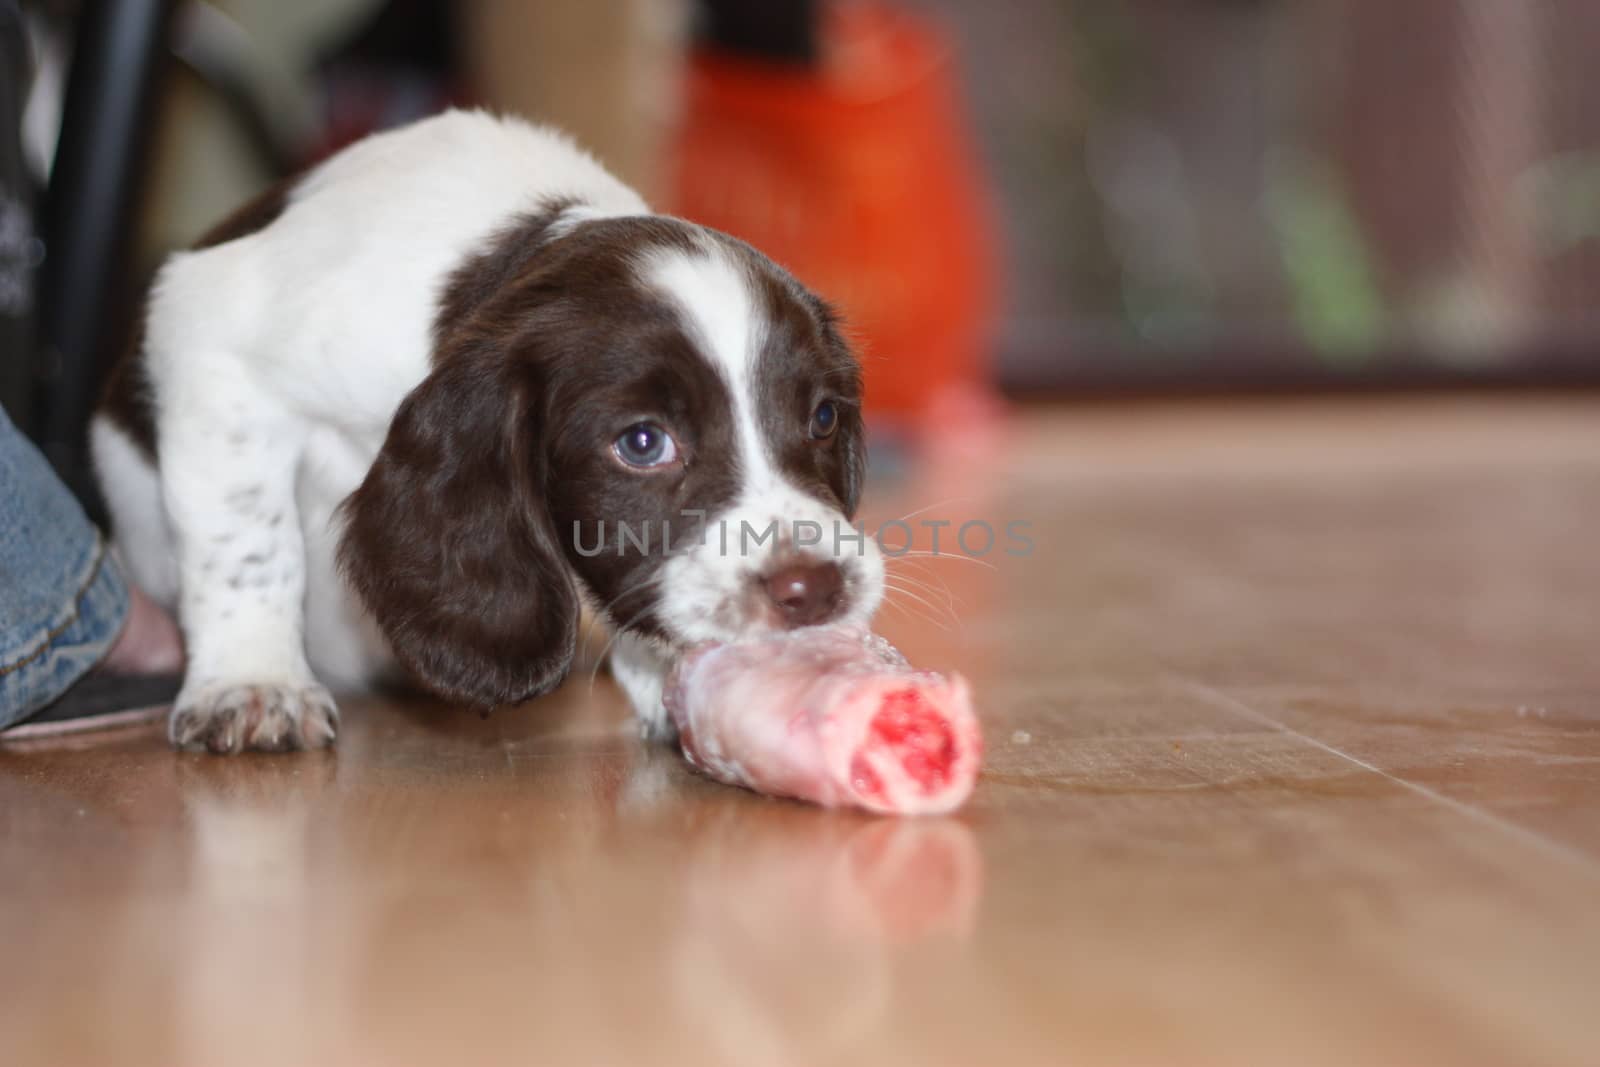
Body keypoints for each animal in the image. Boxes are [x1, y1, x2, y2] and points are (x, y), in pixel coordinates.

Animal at [92, 110, 883, 751]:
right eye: (642, 442)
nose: (814, 588)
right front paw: (253, 682)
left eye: (822, 417)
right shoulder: (212, 345)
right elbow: (248, 541)